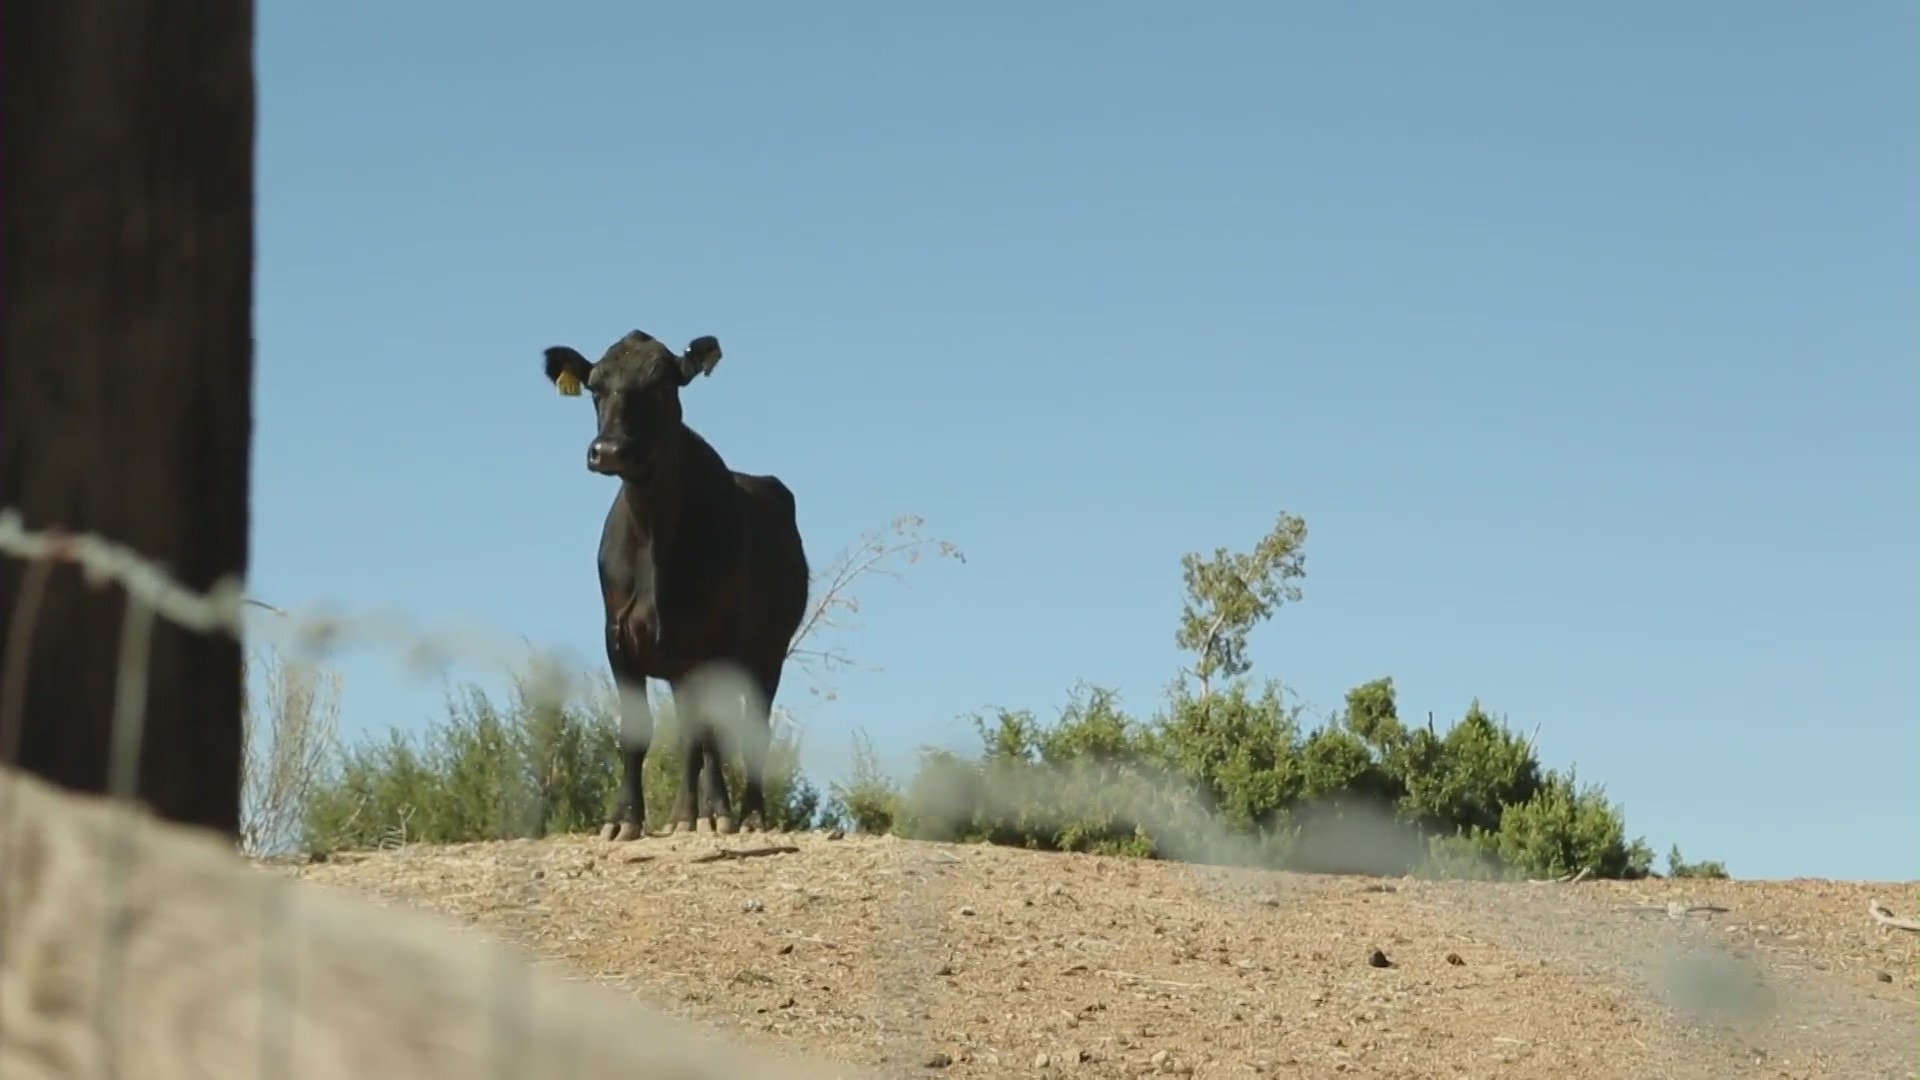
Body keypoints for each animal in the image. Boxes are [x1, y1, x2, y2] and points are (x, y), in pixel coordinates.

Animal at [545, 332, 806, 837]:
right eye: (595, 387)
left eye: (663, 386)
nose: (609, 451)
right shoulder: (618, 637)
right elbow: (640, 731)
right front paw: (624, 819)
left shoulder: (717, 643)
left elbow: (715, 736)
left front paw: (719, 812)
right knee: (690, 735)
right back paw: (683, 815)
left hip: (768, 653)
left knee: (748, 730)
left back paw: (748, 815)